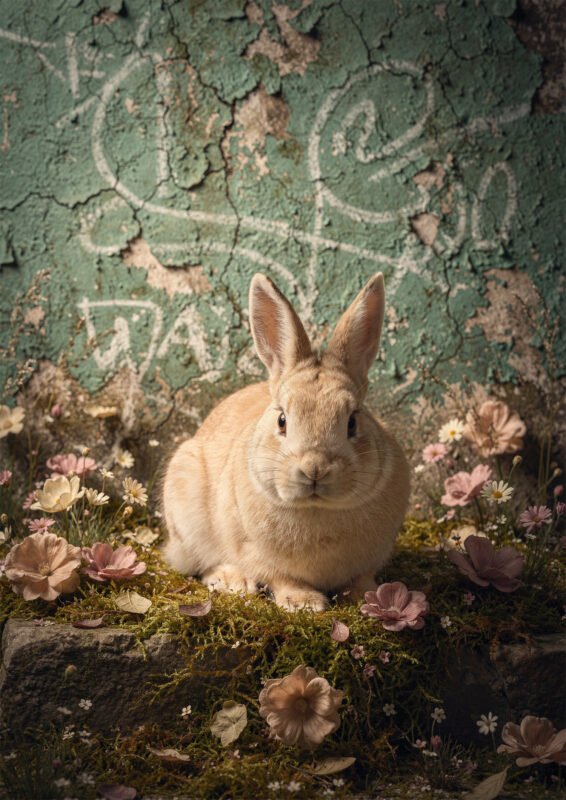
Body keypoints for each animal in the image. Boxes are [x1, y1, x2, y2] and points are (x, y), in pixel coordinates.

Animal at [162, 272, 410, 611]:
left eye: (352, 421)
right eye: (282, 420)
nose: (315, 469)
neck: (316, 508)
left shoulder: (371, 558)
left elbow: (361, 579)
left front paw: (372, 599)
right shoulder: (255, 551)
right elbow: (280, 577)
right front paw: (304, 602)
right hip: (186, 510)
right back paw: (233, 582)